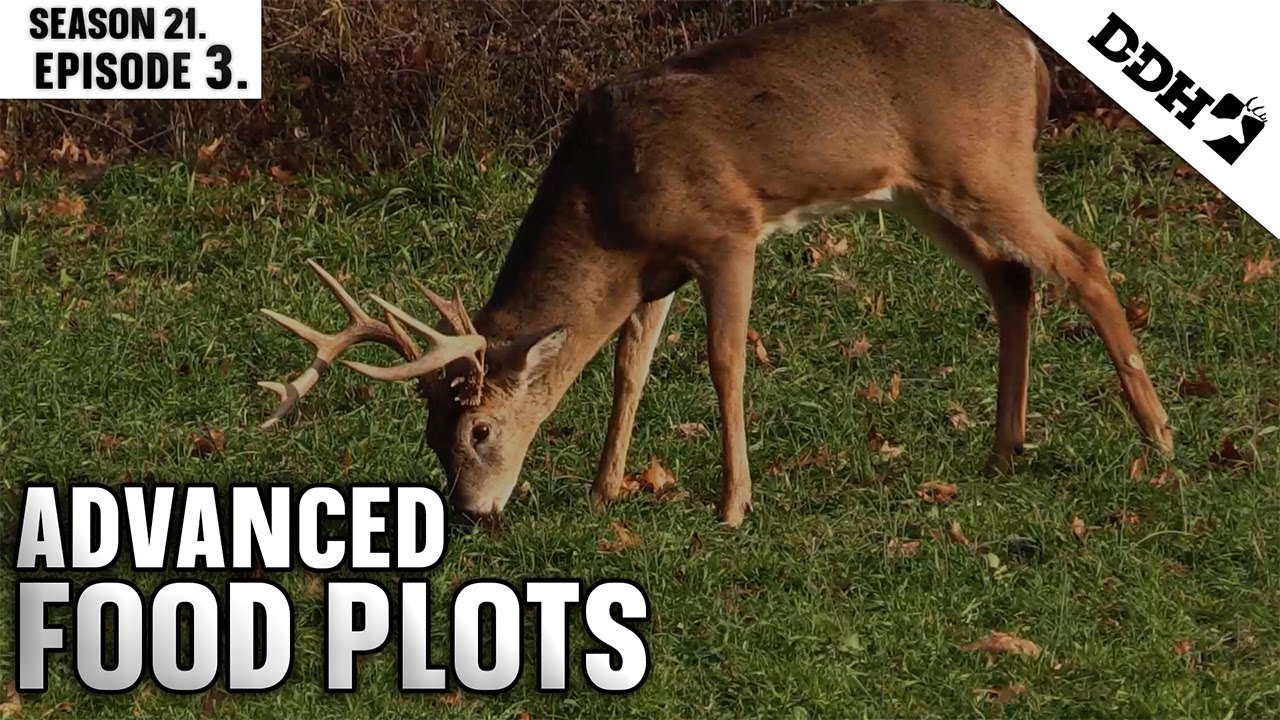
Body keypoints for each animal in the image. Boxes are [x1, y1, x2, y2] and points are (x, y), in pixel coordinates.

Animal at [257, 0, 1173, 528]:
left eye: (480, 429)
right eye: (430, 434)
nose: (473, 512)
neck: (606, 201)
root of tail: (1029, 57)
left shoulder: (725, 232)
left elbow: (724, 361)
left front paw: (733, 505)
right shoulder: (652, 270)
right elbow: (630, 365)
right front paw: (606, 488)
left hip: (984, 163)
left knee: (1082, 258)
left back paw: (1158, 437)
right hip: (919, 190)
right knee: (1012, 277)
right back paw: (1003, 451)